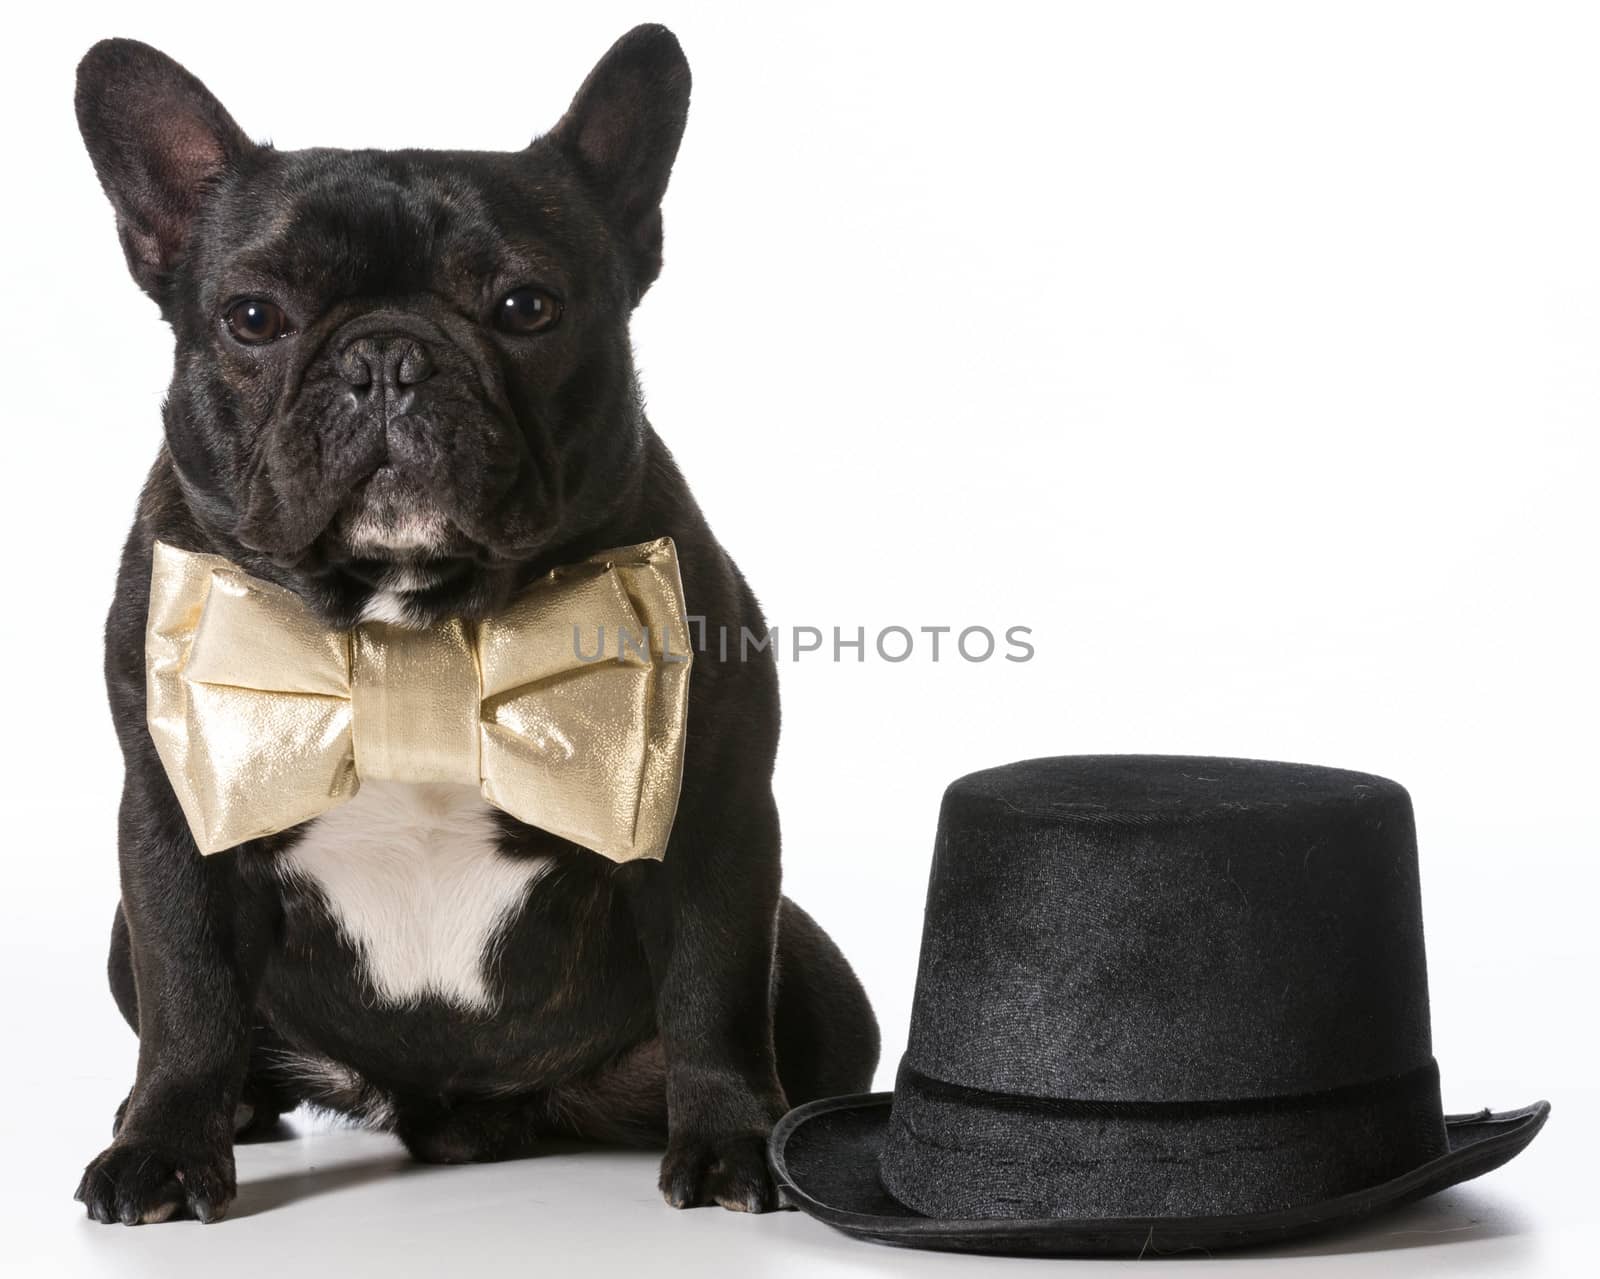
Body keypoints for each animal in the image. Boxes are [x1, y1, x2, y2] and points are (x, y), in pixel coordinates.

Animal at [72, 25, 876, 1222]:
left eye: (525, 308)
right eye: (253, 317)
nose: (387, 357)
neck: (415, 616)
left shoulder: (711, 812)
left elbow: (713, 983)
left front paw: (733, 1137)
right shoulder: (177, 816)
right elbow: (189, 995)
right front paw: (163, 1148)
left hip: (818, 977)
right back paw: (226, 1110)